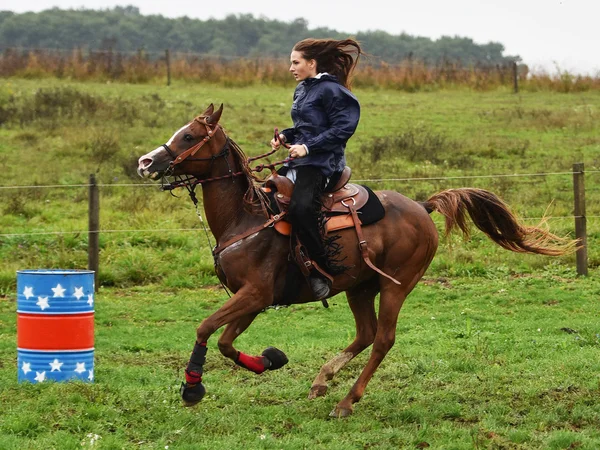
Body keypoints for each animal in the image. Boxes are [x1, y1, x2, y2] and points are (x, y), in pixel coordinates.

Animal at [136, 103, 576, 416]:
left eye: (189, 135)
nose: (145, 162)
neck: (247, 216)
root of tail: (422, 206)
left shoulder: (255, 294)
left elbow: (206, 327)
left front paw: (193, 387)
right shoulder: (254, 299)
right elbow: (226, 341)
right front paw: (269, 360)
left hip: (396, 285)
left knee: (383, 339)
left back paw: (347, 401)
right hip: (358, 287)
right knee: (366, 334)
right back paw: (322, 380)